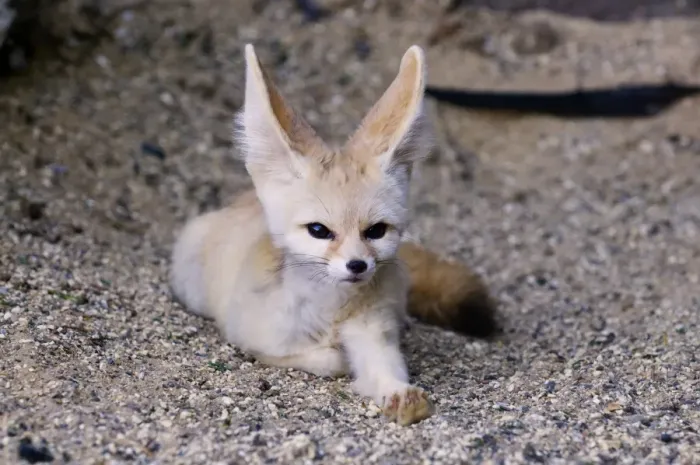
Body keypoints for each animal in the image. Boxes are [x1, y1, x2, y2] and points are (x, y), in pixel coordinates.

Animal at [169, 44, 498, 426]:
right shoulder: (251, 337)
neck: (332, 313)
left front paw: (398, 394)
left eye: (376, 231)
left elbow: (385, 369)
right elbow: (326, 358)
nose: (357, 266)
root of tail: (244, 199)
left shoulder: (374, 334)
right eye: (319, 231)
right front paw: (336, 356)